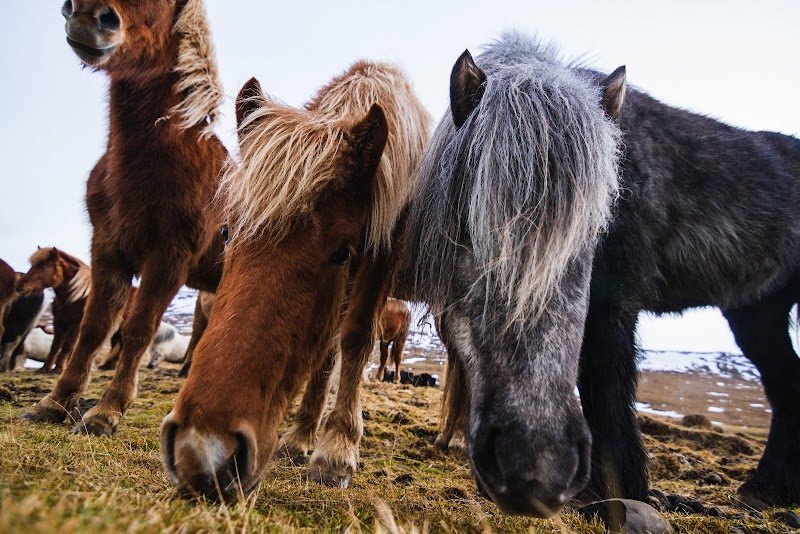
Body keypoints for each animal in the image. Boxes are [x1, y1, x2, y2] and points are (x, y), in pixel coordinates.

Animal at [22, 0, 225, 436]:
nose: (88, 15)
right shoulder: (107, 249)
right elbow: (94, 330)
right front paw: (55, 402)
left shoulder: (170, 257)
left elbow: (136, 330)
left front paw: (106, 411)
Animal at [161, 61, 431, 501]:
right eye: (226, 232)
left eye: (342, 252)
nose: (201, 451)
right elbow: (325, 355)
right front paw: (302, 435)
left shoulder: (382, 256)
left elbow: (356, 338)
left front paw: (336, 449)